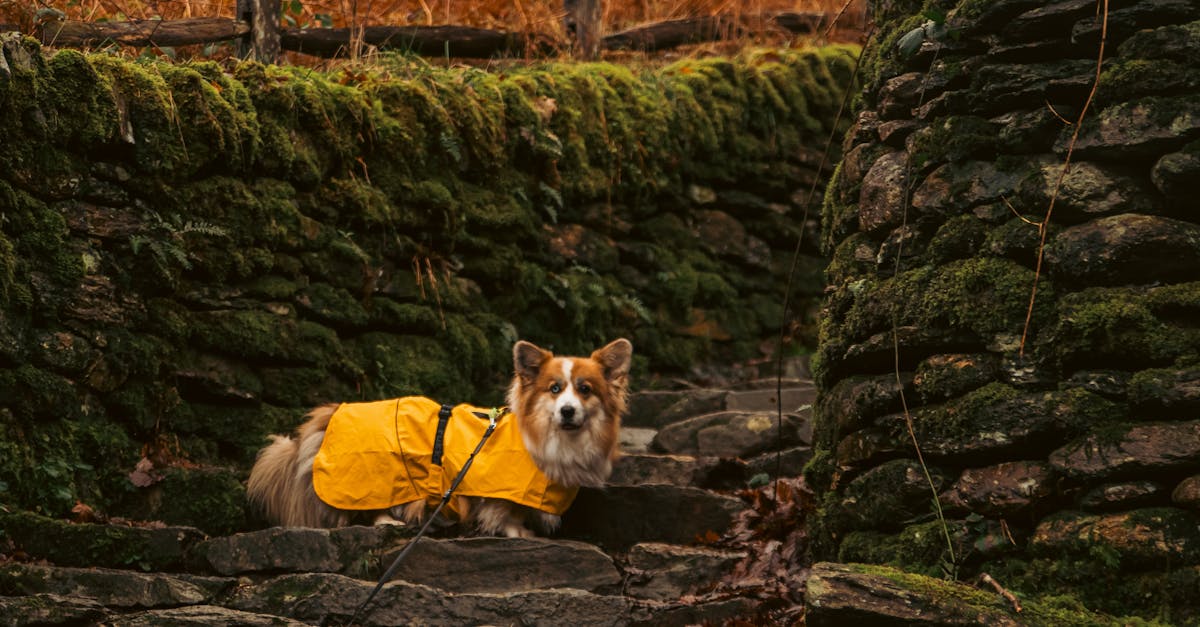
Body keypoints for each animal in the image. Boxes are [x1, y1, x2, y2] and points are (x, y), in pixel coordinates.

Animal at [248, 336, 633, 535]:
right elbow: (505, 514)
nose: (567, 411)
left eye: (585, 390)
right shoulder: (497, 492)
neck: (556, 440)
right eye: (554, 389)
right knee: (360, 512)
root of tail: (331, 412)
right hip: (376, 479)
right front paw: (518, 533)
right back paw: (389, 520)